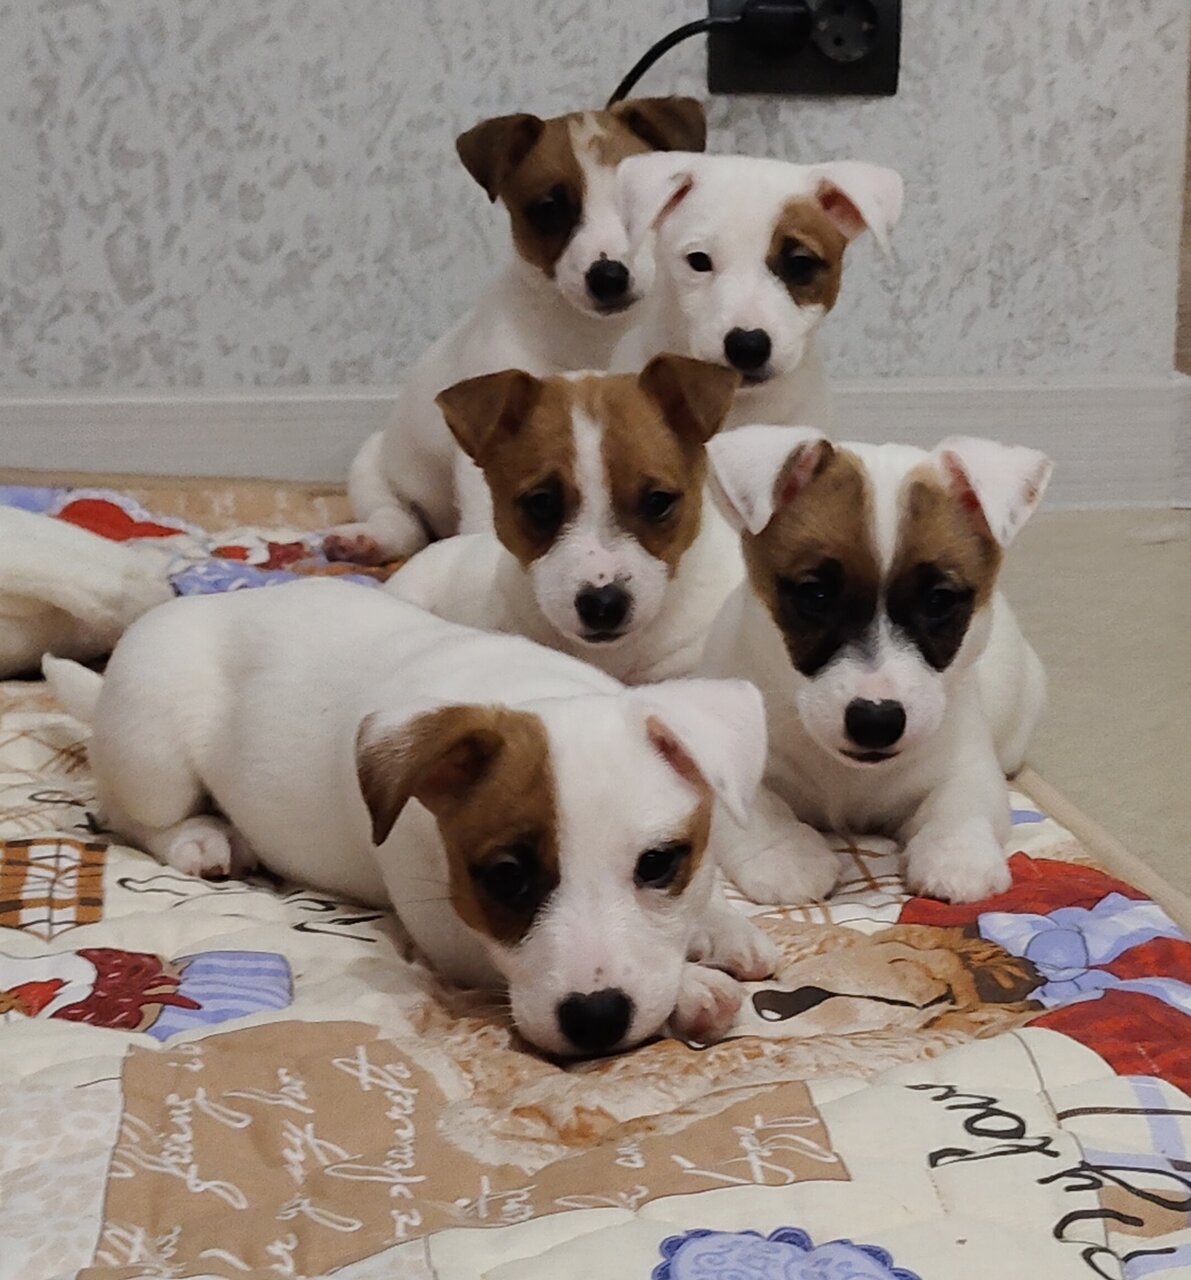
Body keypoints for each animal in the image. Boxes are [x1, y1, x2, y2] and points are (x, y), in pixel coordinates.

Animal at [44, 580, 776, 1057]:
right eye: (506, 877)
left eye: (658, 865)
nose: (596, 1019)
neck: (532, 692)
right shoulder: (451, 938)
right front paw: (692, 990)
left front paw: (719, 928)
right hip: (150, 751)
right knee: (126, 812)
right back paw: (203, 837)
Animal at [326, 97, 707, 564]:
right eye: (549, 209)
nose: (609, 277)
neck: (594, 336)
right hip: (374, 467)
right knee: (401, 524)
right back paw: (366, 539)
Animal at [698, 427, 1051, 906]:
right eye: (815, 595)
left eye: (938, 600)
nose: (876, 722)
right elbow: (758, 809)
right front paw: (786, 854)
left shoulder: (964, 765)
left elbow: (962, 804)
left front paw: (956, 855)